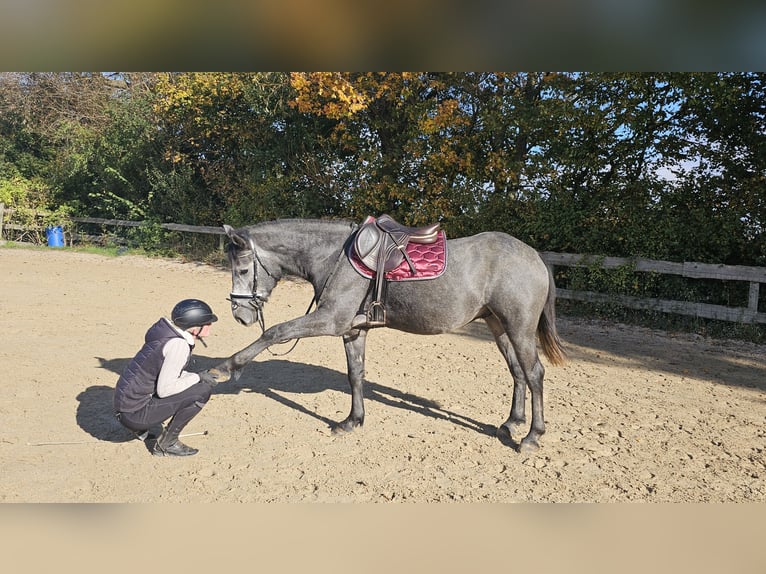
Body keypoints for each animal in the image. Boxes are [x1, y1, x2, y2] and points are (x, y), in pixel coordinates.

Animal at [207, 218, 568, 452]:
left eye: (242, 269)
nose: (240, 315)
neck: (335, 257)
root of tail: (535, 256)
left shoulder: (331, 320)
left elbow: (275, 333)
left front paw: (225, 368)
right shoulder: (353, 329)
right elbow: (355, 374)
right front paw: (352, 421)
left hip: (519, 328)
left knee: (534, 373)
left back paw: (532, 436)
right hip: (499, 326)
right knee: (517, 372)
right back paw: (512, 423)